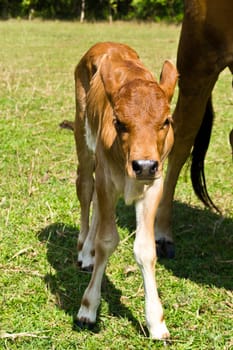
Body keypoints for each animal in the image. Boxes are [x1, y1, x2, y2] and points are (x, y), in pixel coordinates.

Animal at [73, 41, 177, 340]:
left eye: (166, 121)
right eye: (119, 122)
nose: (144, 165)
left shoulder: (154, 183)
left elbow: (146, 249)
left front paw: (156, 322)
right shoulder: (108, 178)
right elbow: (107, 241)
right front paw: (88, 308)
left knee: (96, 202)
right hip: (83, 137)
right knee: (85, 188)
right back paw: (84, 250)